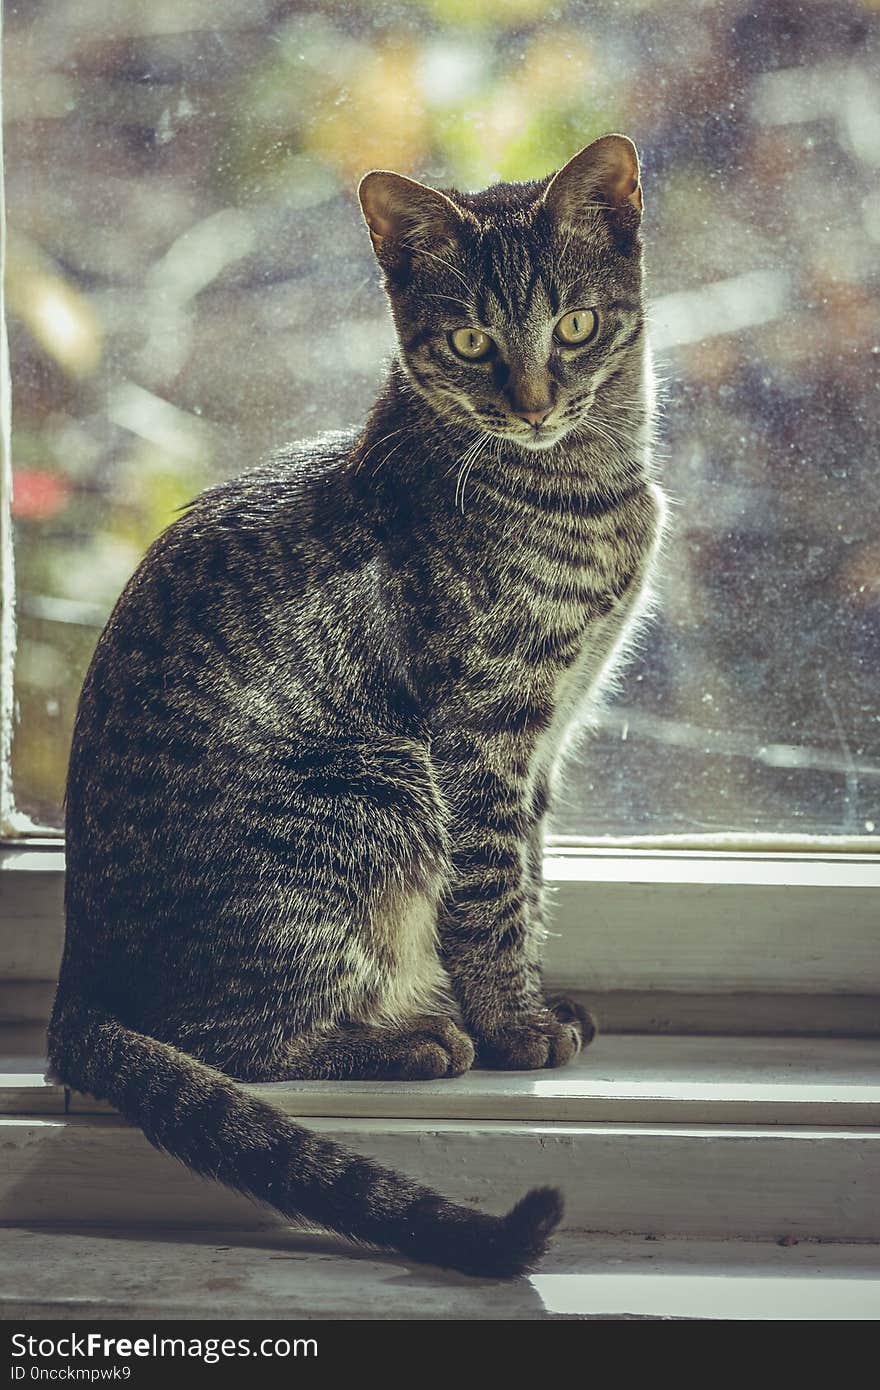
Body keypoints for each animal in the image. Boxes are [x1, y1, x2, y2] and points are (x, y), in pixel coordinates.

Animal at [47, 135, 661, 1273]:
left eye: (575, 325)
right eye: (468, 340)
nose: (532, 403)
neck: (589, 490)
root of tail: (77, 975)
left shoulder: (545, 741)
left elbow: (529, 881)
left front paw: (530, 998)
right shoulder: (481, 733)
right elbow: (489, 898)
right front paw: (512, 1027)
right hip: (375, 791)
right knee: (230, 1040)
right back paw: (412, 1037)